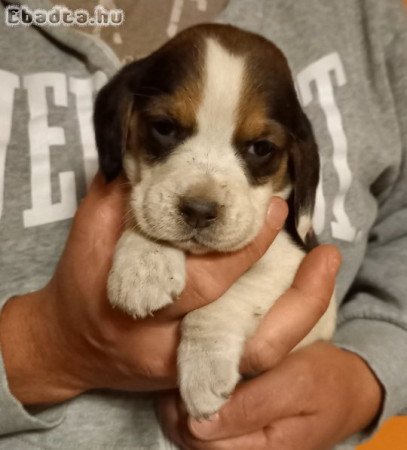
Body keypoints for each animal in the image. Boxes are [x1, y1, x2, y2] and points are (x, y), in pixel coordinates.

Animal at [94, 23, 336, 418]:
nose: (198, 210)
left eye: (260, 148)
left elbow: (224, 301)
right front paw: (144, 266)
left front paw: (205, 369)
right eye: (164, 127)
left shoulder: (290, 266)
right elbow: (148, 209)